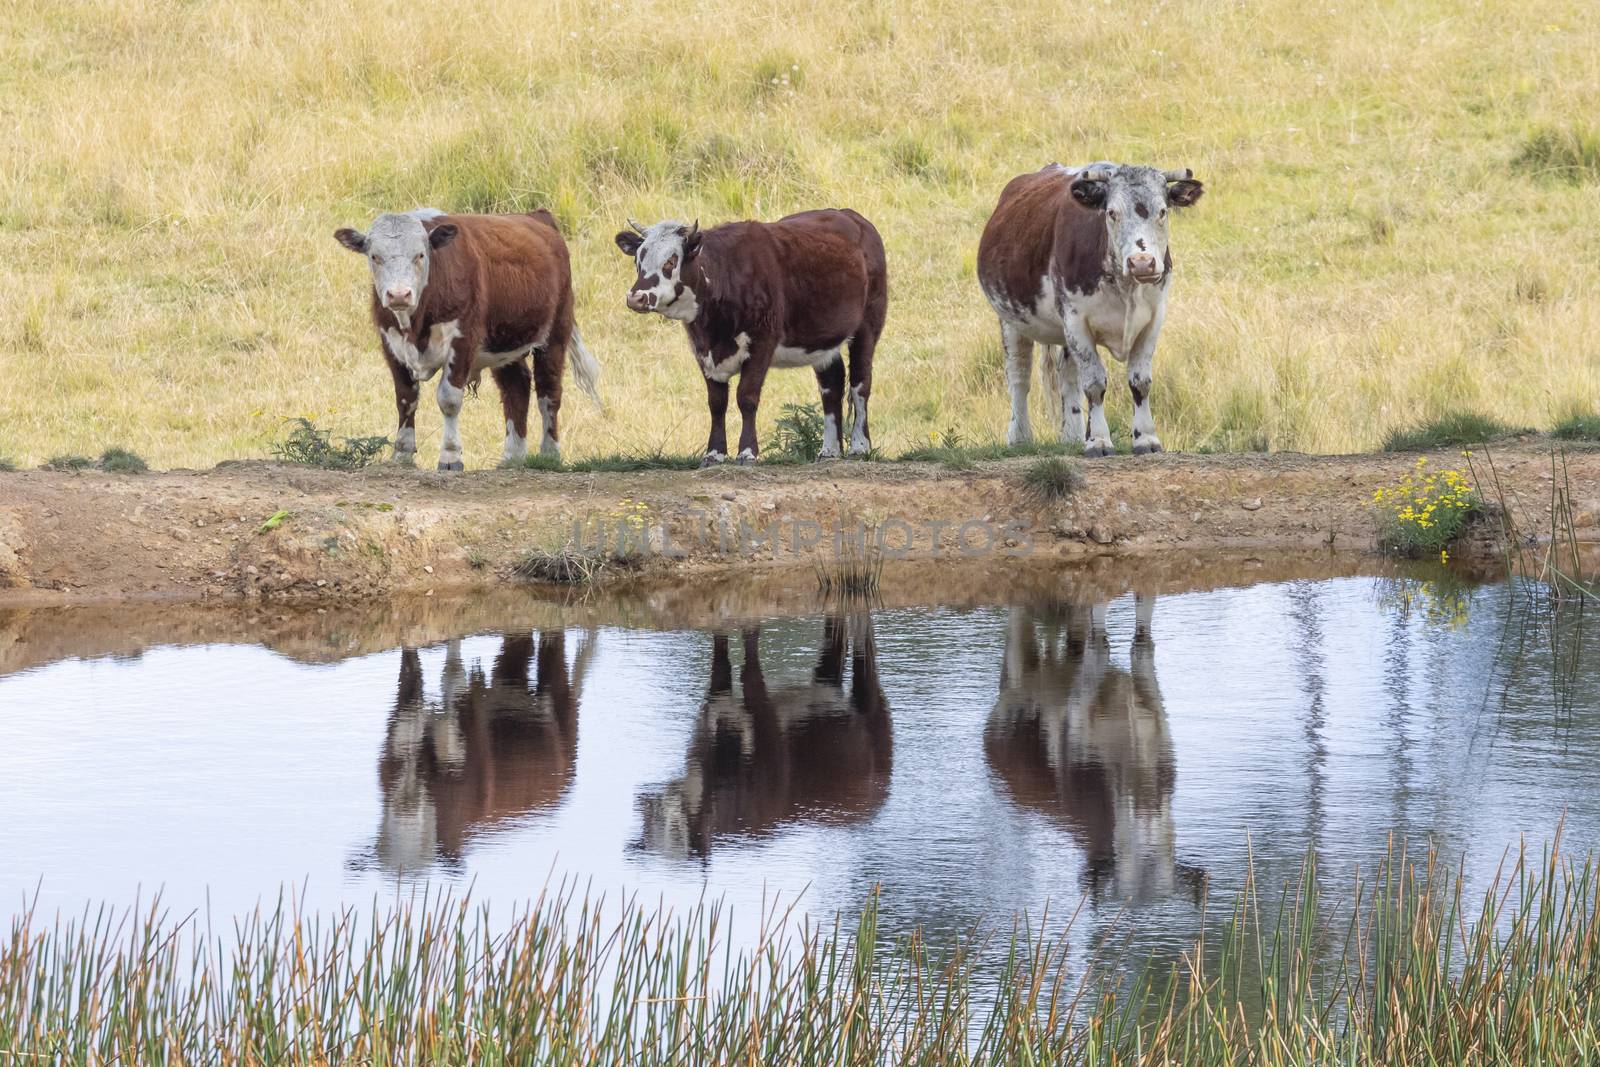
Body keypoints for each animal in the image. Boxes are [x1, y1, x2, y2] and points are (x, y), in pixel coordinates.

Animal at [331, 211, 601, 470]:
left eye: (420, 255)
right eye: (374, 256)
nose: (399, 295)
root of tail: (538, 216)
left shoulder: (463, 341)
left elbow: (449, 399)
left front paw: (450, 456)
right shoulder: (391, 344)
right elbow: (406, 398)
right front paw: (402, 454)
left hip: (555, 334)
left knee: (549, 393)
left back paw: (549, 453)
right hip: (505, 345)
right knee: (517, 387)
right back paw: (512, 456)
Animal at [611, 212, 889, 467]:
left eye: (671, 260)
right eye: (638, 259)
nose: (636, 297)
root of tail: (854, 218)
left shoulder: (762, 342)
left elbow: (746, 396)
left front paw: (747, 453)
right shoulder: (703, 350)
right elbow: (716, 403)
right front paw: (714, 454)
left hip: (868, 325)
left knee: (860, 383)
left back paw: (859, 447)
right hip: (822, 339)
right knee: (832, 385)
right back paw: (830, 450)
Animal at [972, 164, 1203, 457]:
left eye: (1162, 211)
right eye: (1112, 212)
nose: (1141, 262)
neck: (1125, 288)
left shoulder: (1153, 319)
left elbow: (1140, 381)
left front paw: (1146, 438)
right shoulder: (1076, 320)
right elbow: (1094, 383)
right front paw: (1099, 441)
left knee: (1067, 376)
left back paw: (1072, 434)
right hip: (1010, 320)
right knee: (1019, 377)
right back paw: (1020, 436)